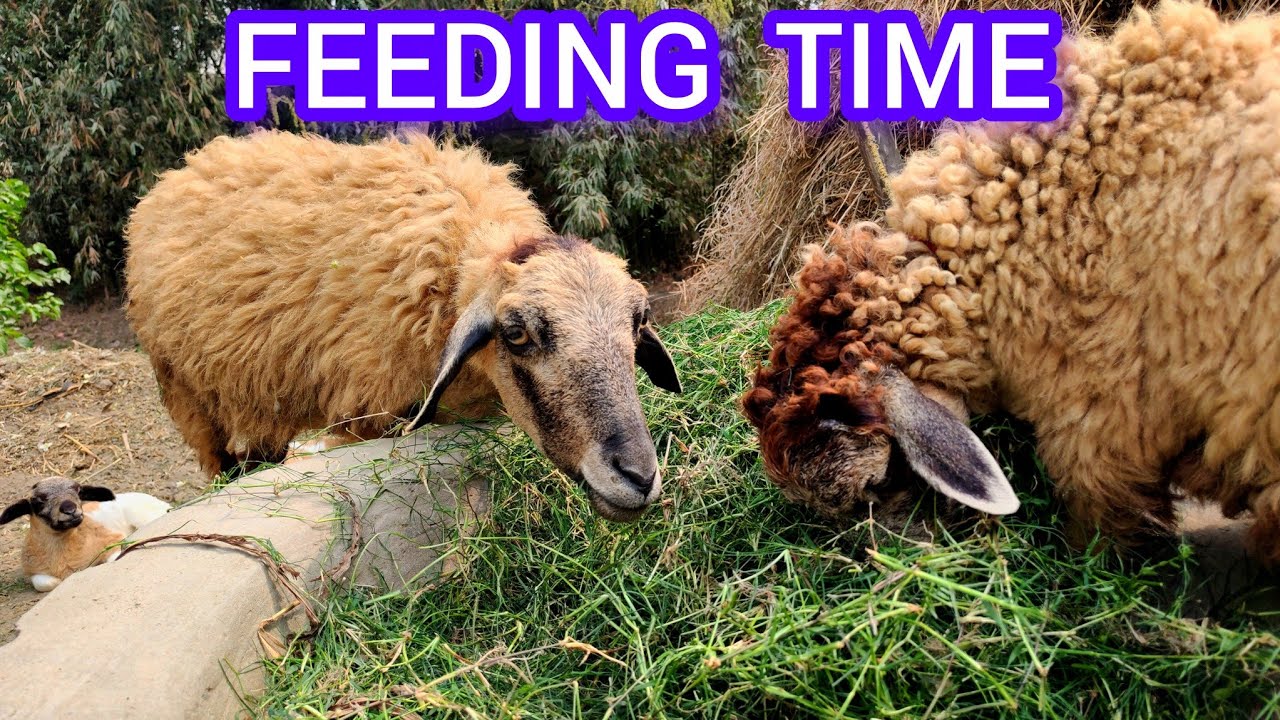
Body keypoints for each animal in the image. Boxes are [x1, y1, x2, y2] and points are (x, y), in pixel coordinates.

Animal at [0, 477, 171, 591]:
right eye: (38, 500)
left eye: (78, 490)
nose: (70, 509)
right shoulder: (34, 572)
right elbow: (45, 583)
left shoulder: (113, 539)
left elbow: (114, 557)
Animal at [125, 132, 681, 522]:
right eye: (517, 333)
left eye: (638, 322)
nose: (638, 476)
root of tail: (185, 167)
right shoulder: (363, 412)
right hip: (187, 394)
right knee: (221, 457)